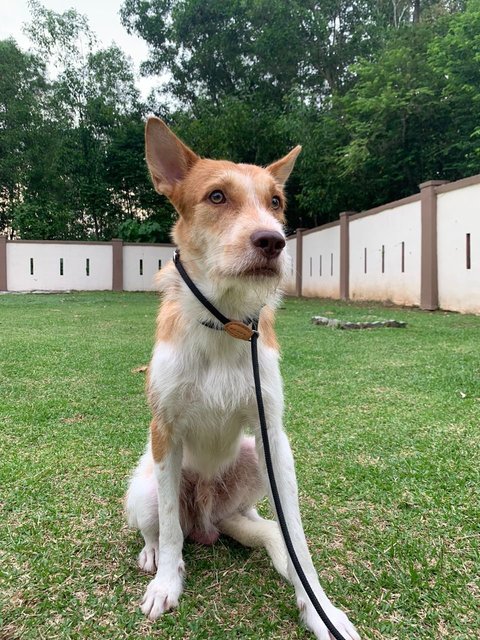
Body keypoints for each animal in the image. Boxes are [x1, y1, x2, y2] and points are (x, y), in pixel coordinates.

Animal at [125, 116, 358, 640]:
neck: (225, 320)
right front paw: (167, 583)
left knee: (261, 522)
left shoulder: (273, 434)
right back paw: (153, 555)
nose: (273, 241)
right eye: (216, 196)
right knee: (159, 527)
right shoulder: (164, 430)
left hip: (254, 460)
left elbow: (298, 538)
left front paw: (321, 609)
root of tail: (208, 518)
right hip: (145, 483)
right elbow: (169, 527)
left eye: (275, 202)